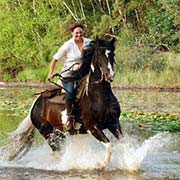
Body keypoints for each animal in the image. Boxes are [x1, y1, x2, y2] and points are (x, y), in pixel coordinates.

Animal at [2, 37, 122, 167]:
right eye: (99, 53)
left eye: (112, 54)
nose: (110, 75)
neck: (98, 96)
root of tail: (35, 104)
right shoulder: (92, 127)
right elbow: (109, 146)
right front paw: (101, 163)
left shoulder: (114, 123)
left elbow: (123, 143)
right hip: (49, 133)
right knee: (57, 152)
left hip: (60, 133)